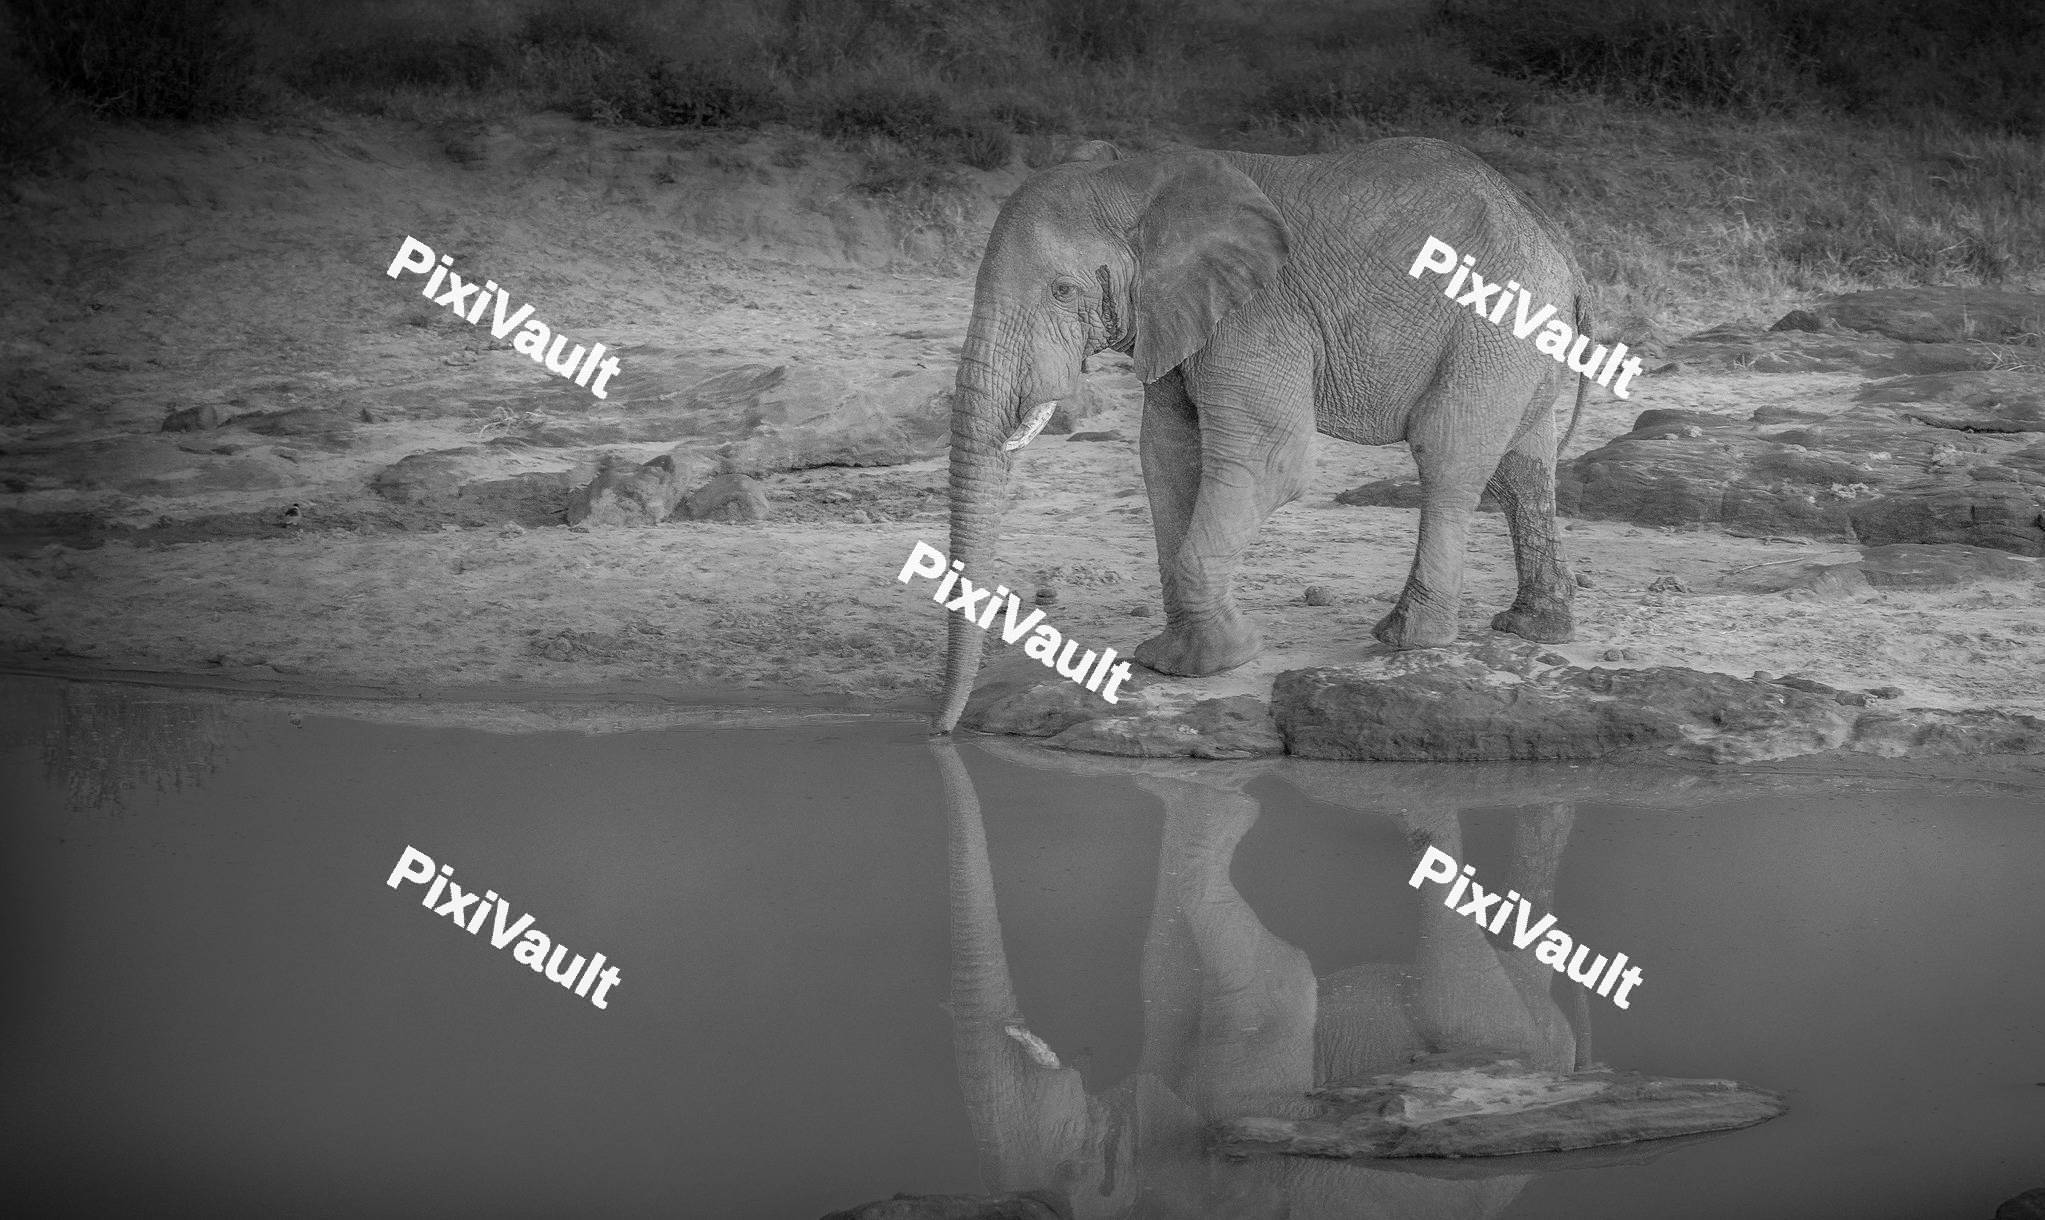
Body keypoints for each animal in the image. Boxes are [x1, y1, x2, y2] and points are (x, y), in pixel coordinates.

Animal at [933, 138, 1588, 732]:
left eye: (1062, 291)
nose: (941, 731)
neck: (1140, 180)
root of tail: (1560, 246)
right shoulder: (1180, 319)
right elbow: (1166, 456)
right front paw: (1172, 661)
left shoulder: (1258, 316)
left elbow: (1271, 461)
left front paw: (1220, 661)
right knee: (1523, 470)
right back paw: (1535, 628)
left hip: (1494, 333)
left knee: (1447, 457)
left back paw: (1407, 640)